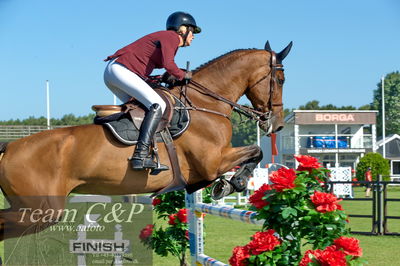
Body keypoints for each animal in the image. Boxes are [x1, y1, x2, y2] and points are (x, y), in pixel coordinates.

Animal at [0, 40, 292, 241]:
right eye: (280, 79)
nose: (276, 123)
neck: (205, 104)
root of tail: (9, 146)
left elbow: (254, 154)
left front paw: (227, 185)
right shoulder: (213, 162)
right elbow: (255, 151)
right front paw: (233, 183)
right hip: (40, 210)